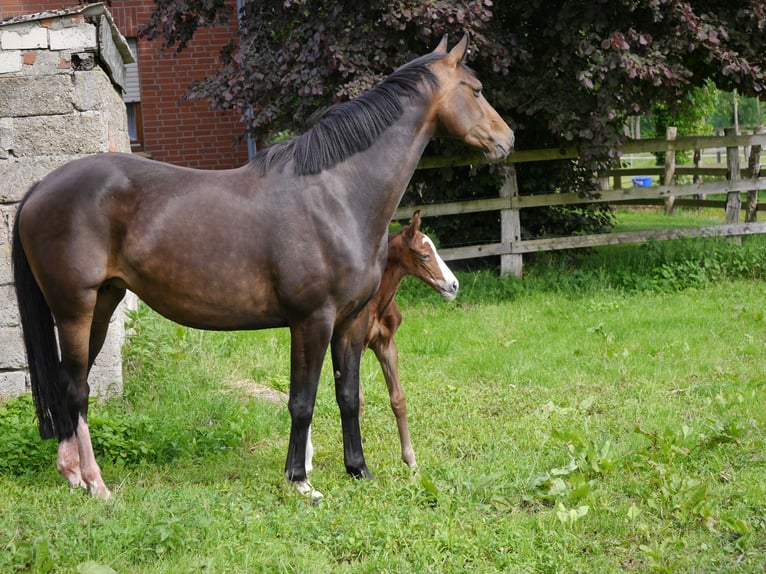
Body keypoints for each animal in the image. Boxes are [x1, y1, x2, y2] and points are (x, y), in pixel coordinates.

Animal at [304, 209, 458, 473]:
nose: (454, 285)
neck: (377, 303)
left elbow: (398, 398)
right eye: (425, 255)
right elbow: (357, 400)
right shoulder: (357, 346)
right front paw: (355, 458)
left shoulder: (386, 345)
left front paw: (410, 459)